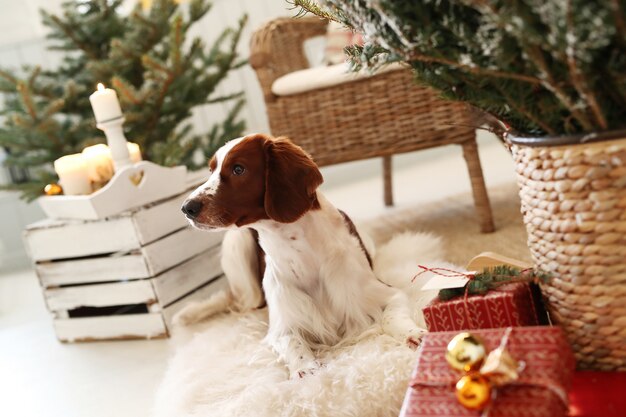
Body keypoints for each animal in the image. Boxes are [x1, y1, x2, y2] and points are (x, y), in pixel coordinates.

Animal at [174, 133, 428, 376]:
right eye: (211, 170)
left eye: (238, 169)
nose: (187, 208)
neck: (299, 252)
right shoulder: (282, 325)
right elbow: (293, 344)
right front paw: (306, 369)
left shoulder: (385, 293)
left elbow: (392, 316)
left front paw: (414, 334)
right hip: (237, 244)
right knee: (235, 298)